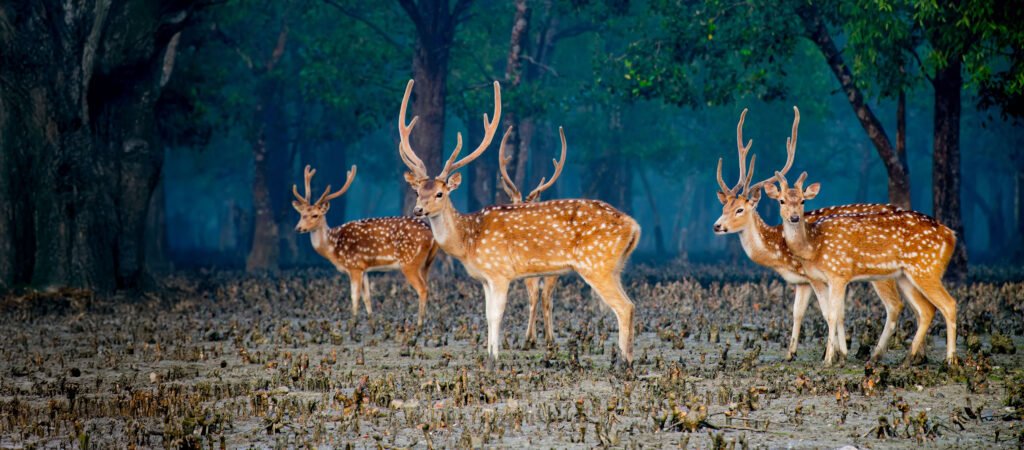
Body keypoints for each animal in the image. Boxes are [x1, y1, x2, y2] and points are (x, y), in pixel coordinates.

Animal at [292, 164, 440, 327]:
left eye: (315, 215)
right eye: (301, 214)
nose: (298, 228)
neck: (334, 247)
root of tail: (431, 234)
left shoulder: (354, 266)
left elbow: (354, 296)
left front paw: (353, 324)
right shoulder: (365, 269)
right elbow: (367, 297)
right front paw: (372, 325)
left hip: (409, 262)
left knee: (422, 289)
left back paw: (419, 324)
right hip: (426, 263)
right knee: (428, 286)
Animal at [495, 125, 567, 348]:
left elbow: (536, 296)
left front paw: (534, 337)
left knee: (537, 295)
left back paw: (531, 339)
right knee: (544, 296)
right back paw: (547, 338)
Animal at [713, 107, 927, 364]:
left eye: (739, 210)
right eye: (724, 207)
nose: (717, 226)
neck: (779, 252)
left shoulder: (815, 277)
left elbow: (829, 312)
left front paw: (837, 353)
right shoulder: (802, 282)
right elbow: (798, 312)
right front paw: (791, 353)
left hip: (882, 273)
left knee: (896, 306)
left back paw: (880, 355)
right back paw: (919, 356)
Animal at [764, 168, 959, 367]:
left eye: (803, 200)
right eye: (781, 200)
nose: (794, 218)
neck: (813, 247)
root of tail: (951, 235)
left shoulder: (838, 273)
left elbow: (832, 314)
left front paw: (829, 359)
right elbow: (830, 313)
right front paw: (837, 356)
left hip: (926, 269)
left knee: (948, 304)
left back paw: (950, 360)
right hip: (906, 276)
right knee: (926, 309)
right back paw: (905, 360)